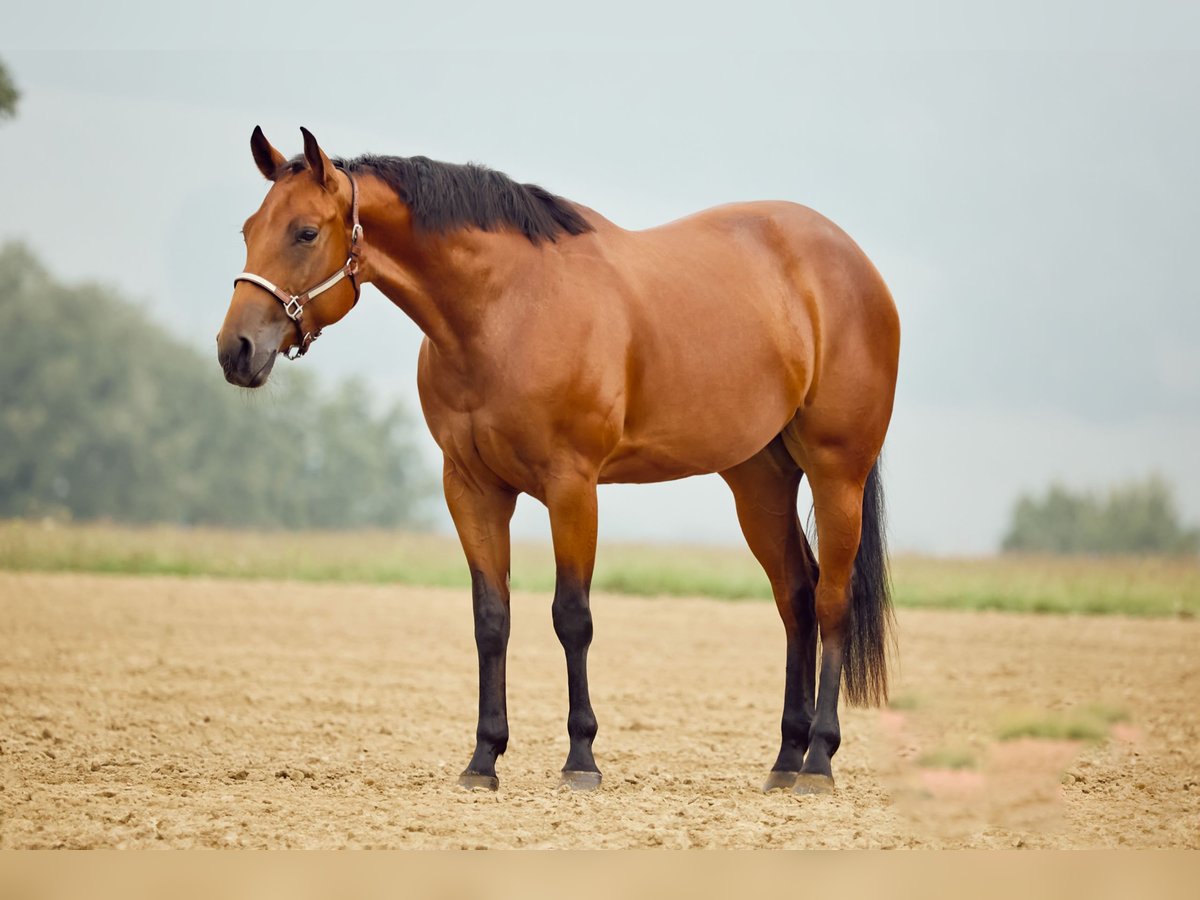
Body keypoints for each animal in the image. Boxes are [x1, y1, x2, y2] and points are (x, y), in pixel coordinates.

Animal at [218, 125, 902, 796]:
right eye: (249, 229)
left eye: (306, 232)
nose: (235, 350)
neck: (504, 311)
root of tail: (854, 264)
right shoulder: (471, 487)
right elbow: (491, 617)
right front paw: (483, 759)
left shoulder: (572, 486)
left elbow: (572, 616)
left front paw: (581, 759)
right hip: (759, 480)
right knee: (797, 597)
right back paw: (785, 759)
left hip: (837, 472)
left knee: (833, 600)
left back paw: (818, 762)